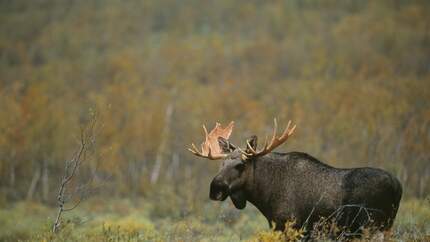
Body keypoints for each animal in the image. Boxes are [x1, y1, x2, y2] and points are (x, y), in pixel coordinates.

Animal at [188, 120, 404, 237]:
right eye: (221, 164)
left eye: (240, 165)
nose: (215, 189)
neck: (263, 195)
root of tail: (398, 186)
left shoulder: (289, 225)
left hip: (371, 225)